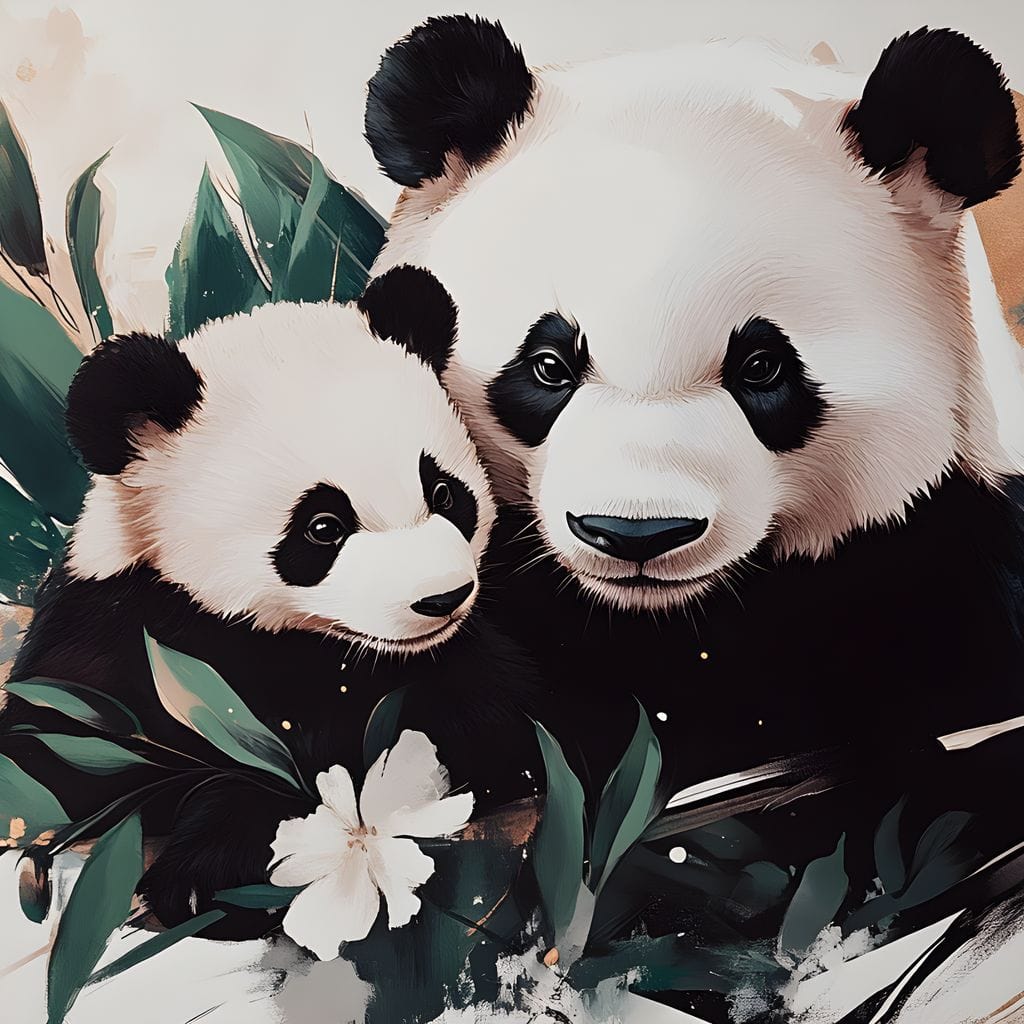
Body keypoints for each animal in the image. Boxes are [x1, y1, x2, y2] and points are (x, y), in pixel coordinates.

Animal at [0, 268, 542, 935]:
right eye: (322, 527)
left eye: (444, 492)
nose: (444, 598)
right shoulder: (110, 633)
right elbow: (53, 752)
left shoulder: (459, 664)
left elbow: (453, 736)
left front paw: (204, 872)